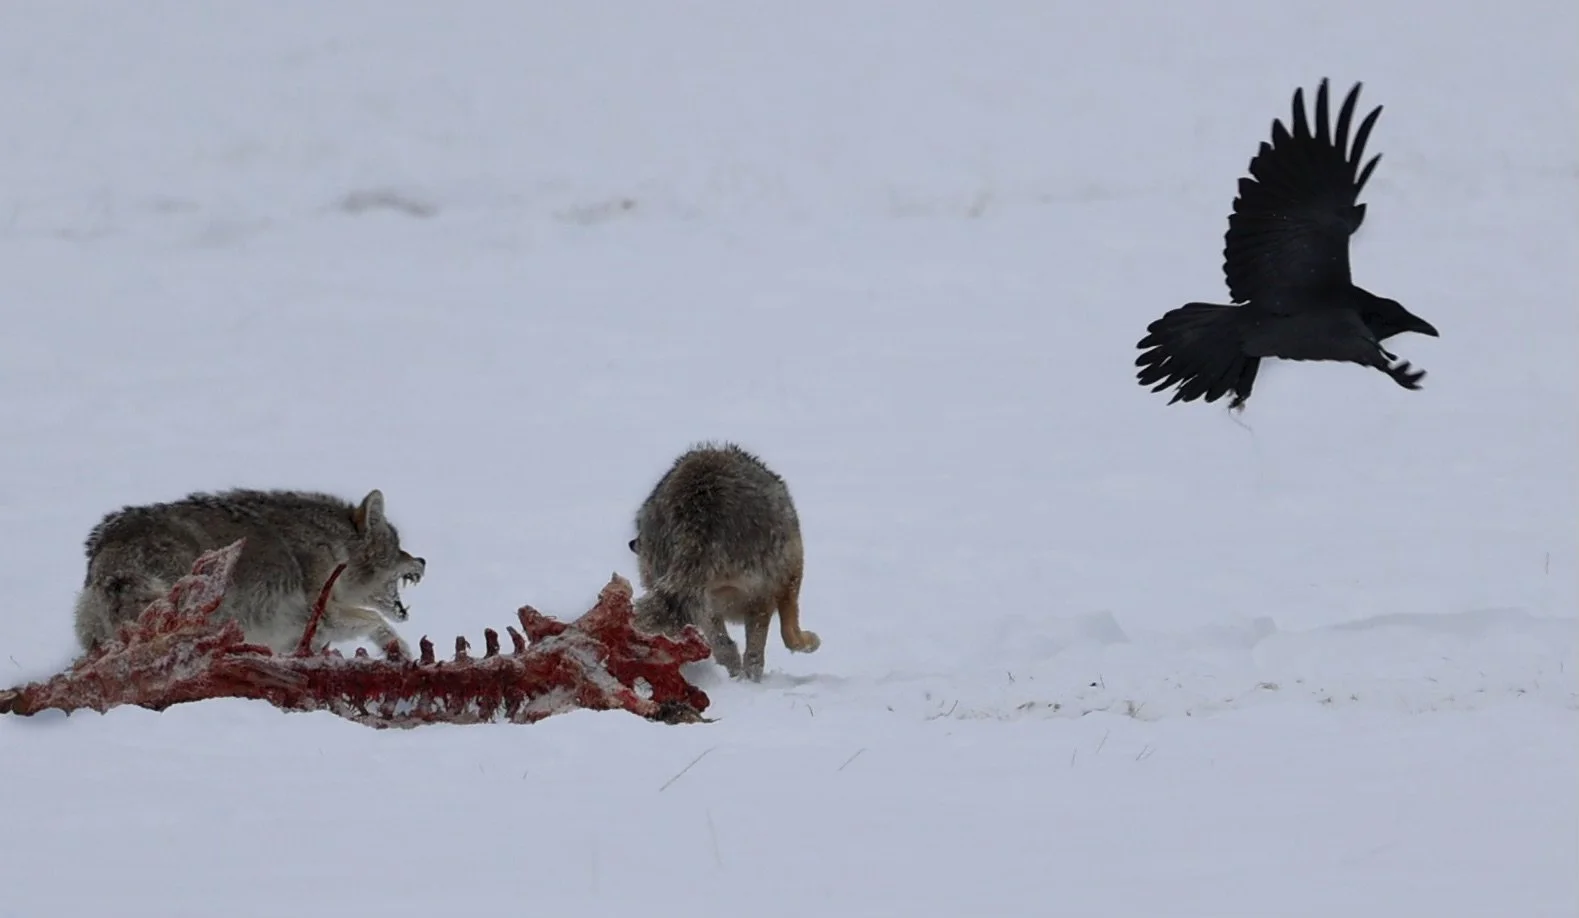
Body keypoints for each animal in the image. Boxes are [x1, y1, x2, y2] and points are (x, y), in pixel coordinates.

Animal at [72, 488, 426, 657]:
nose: (422, 561)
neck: (334, 544)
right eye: (398, 547)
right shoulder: (322, 611)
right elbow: (377, 620)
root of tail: (112, 547)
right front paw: (401, 650)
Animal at [628, 442, 820, 681]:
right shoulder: (788, 577)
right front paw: (808, 642)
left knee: (727, 648)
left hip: (702, 600)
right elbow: (789, 630)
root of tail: (700, 515)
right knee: (754, 653)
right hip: (766, 582)